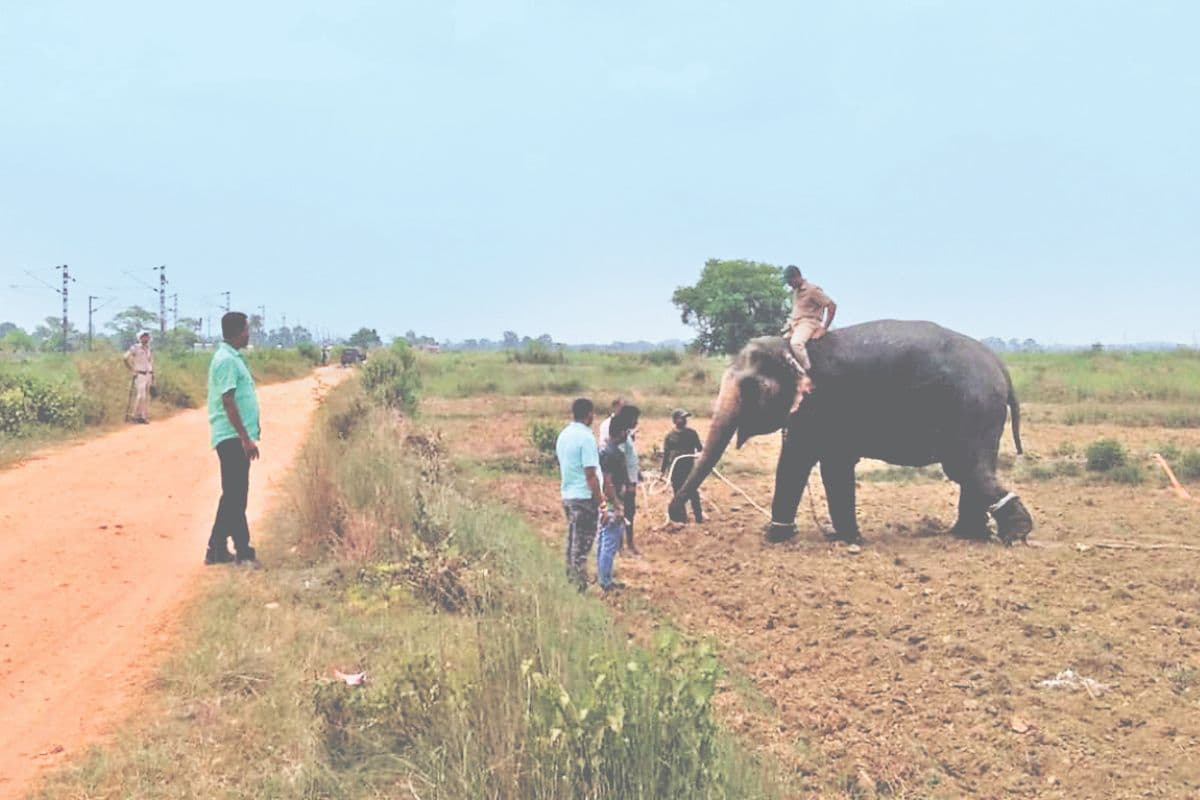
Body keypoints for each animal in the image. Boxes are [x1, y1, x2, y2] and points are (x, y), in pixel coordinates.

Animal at [668, 320, 1033, 545]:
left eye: (748, 387)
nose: (677, 517)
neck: (789, 344)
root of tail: (1001, 368)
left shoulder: (820, 404)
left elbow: (799, 461)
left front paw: (773, 537)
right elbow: (833, 466)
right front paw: (844, 538)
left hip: (974, 409)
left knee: (965, 467)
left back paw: (1014, 534)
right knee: (971, 471)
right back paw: (966, 535)